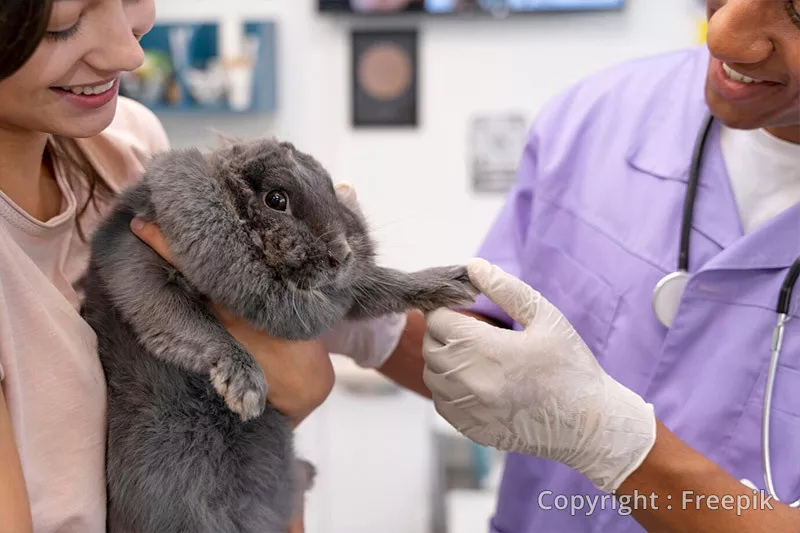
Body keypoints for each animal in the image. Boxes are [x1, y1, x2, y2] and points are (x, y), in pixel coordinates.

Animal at [81, 137, 478, 532]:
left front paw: (453, 283)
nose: (341, 254)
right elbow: (194, 325)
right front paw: (246, 389)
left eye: (331, 191)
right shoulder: (141, 269)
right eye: (276, 199)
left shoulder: (351, 294)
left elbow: (386, 285)